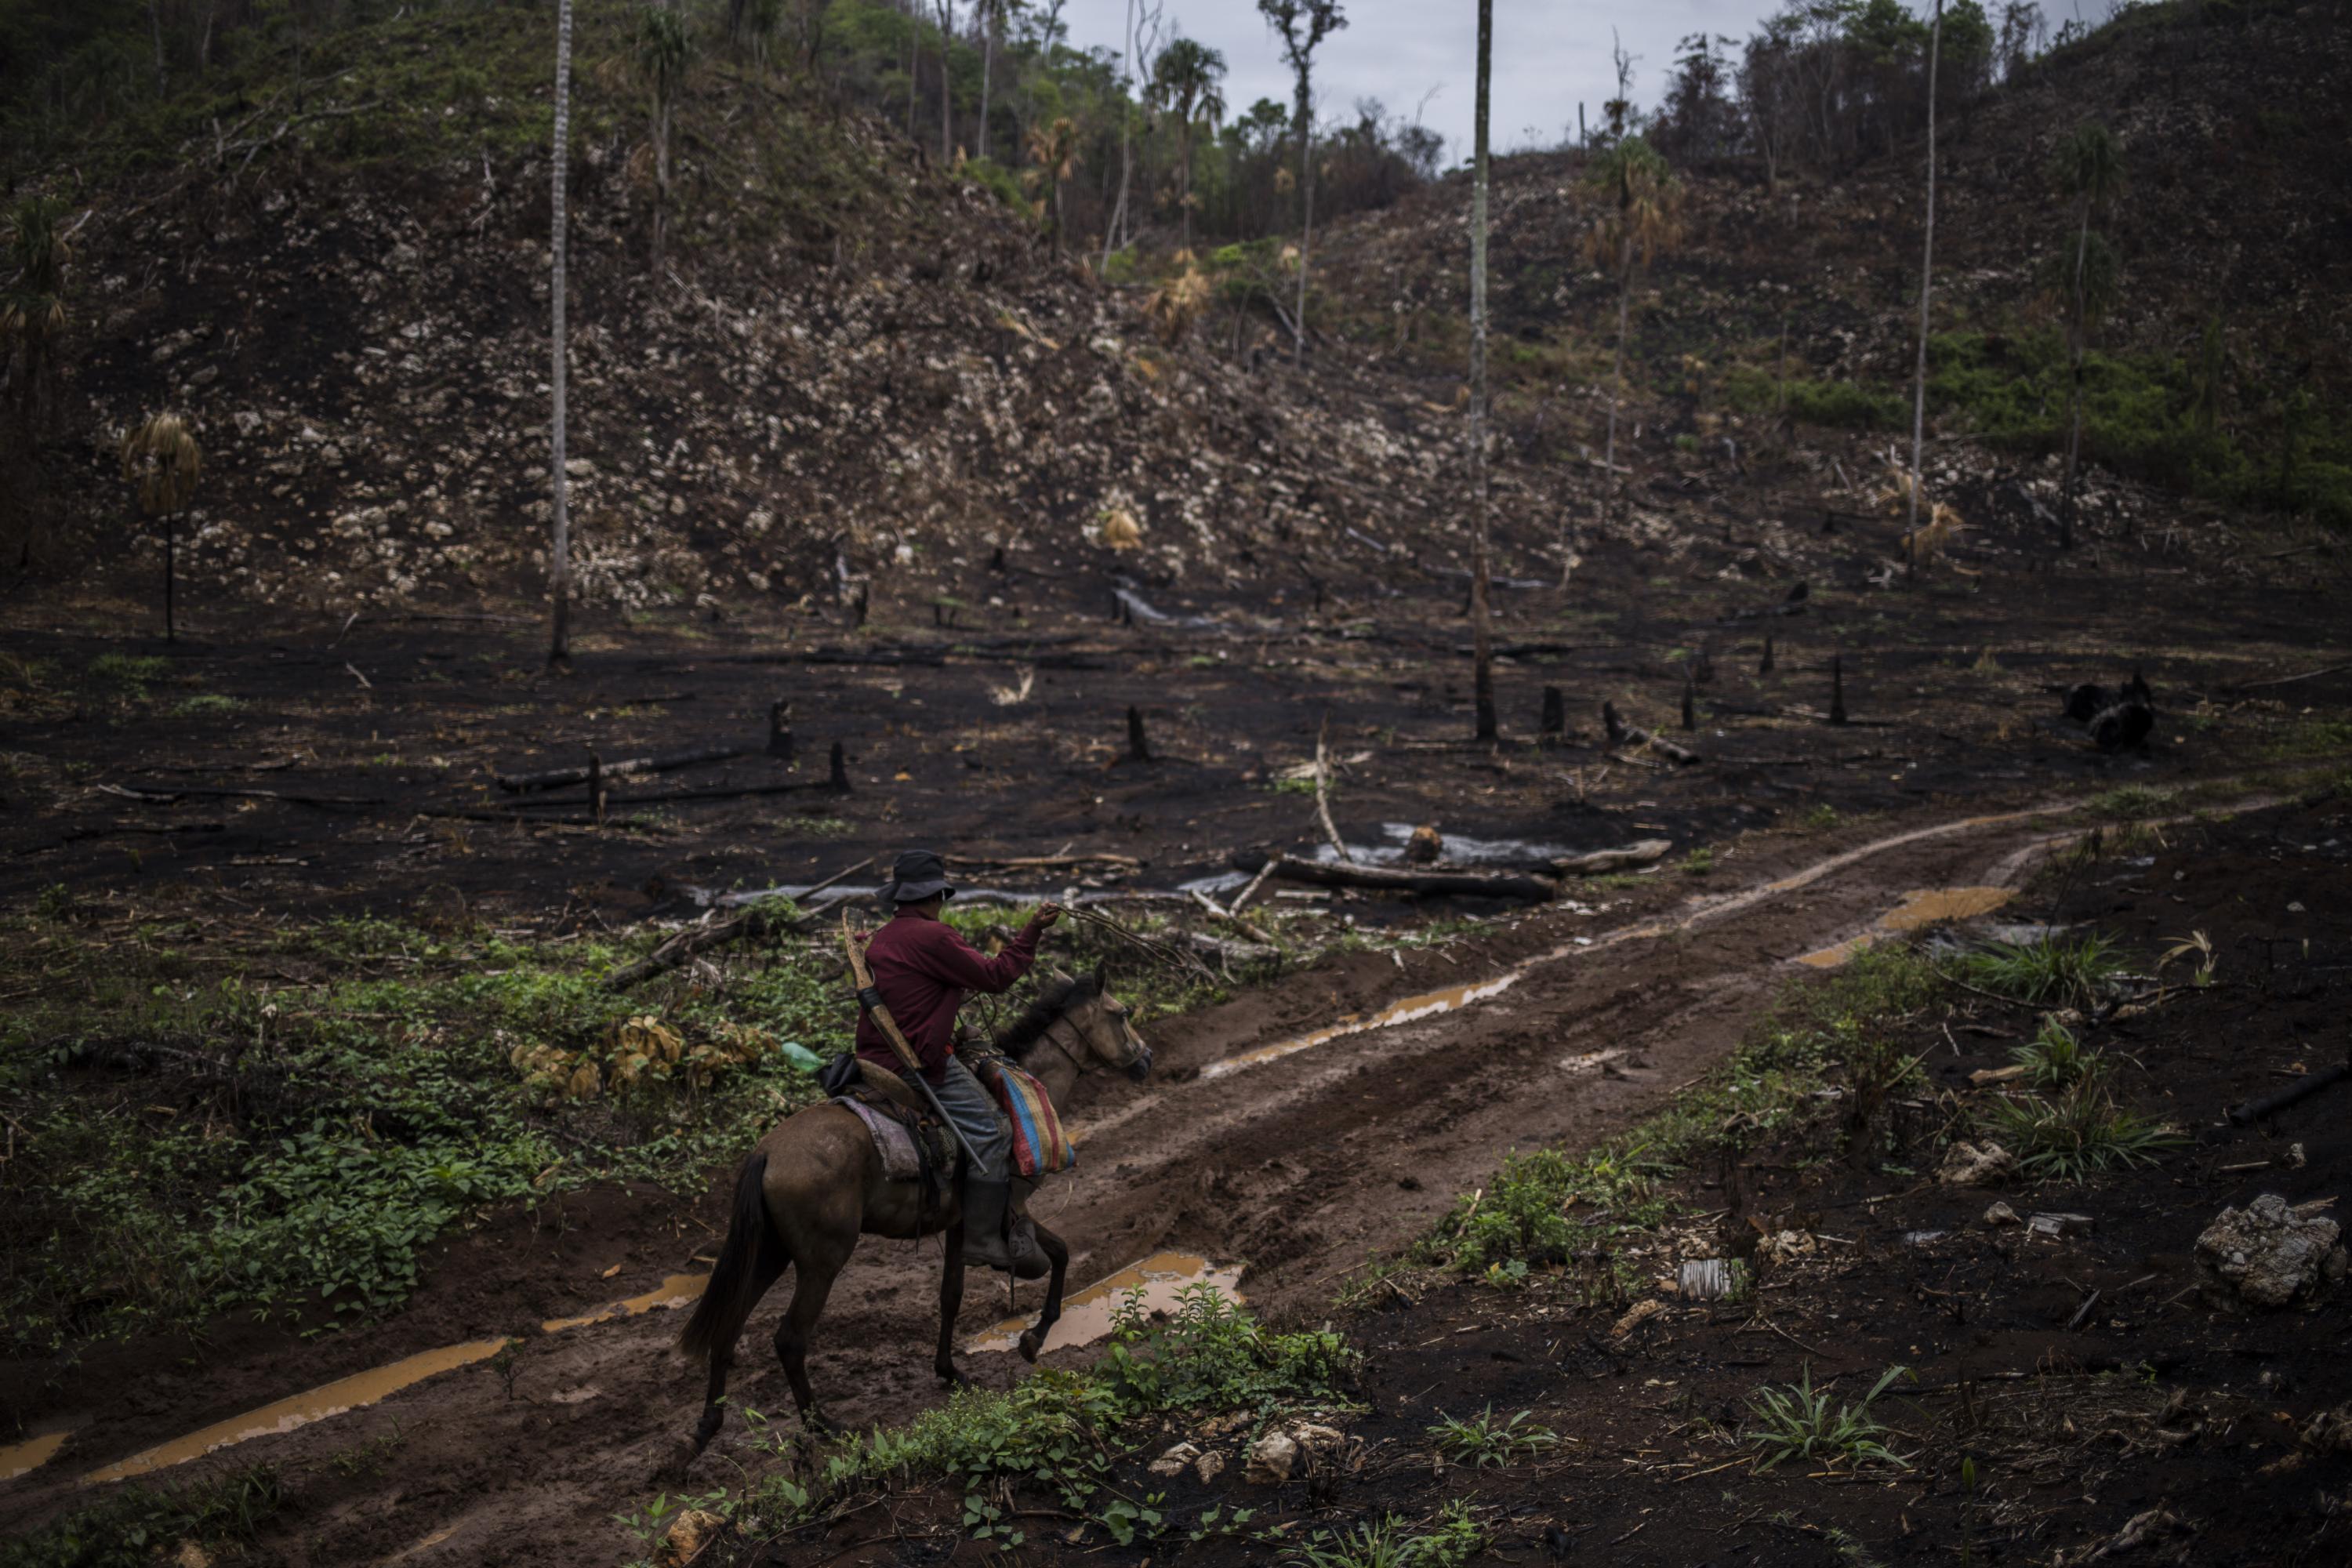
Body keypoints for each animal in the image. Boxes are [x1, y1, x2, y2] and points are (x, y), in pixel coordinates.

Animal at [677, 968, 1152, 1448]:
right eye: (1122, 1013)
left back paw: (708, 1423)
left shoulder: (963, 1225)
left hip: (771, 1253)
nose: (1147, 1059)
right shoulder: (1013, 1207)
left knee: (730, 1324)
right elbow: (1060, 1254)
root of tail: (767, 1153)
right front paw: (1033, 1339)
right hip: (821, 1261)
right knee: (790, 1338)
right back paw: (822, 1424)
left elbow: (951, 1295)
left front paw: (950, 1370)